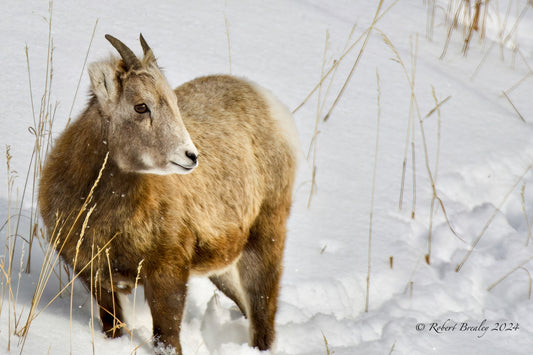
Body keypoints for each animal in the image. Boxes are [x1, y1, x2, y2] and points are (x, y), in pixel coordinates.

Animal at [39, 34, 298, 354]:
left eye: (173, 103)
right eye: (141, 106)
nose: (190, 156)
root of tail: (272, 106)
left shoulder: (167, 275)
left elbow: (167, 337)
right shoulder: (98, 278)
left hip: (264, 241)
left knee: (263, 311)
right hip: (222, 268)